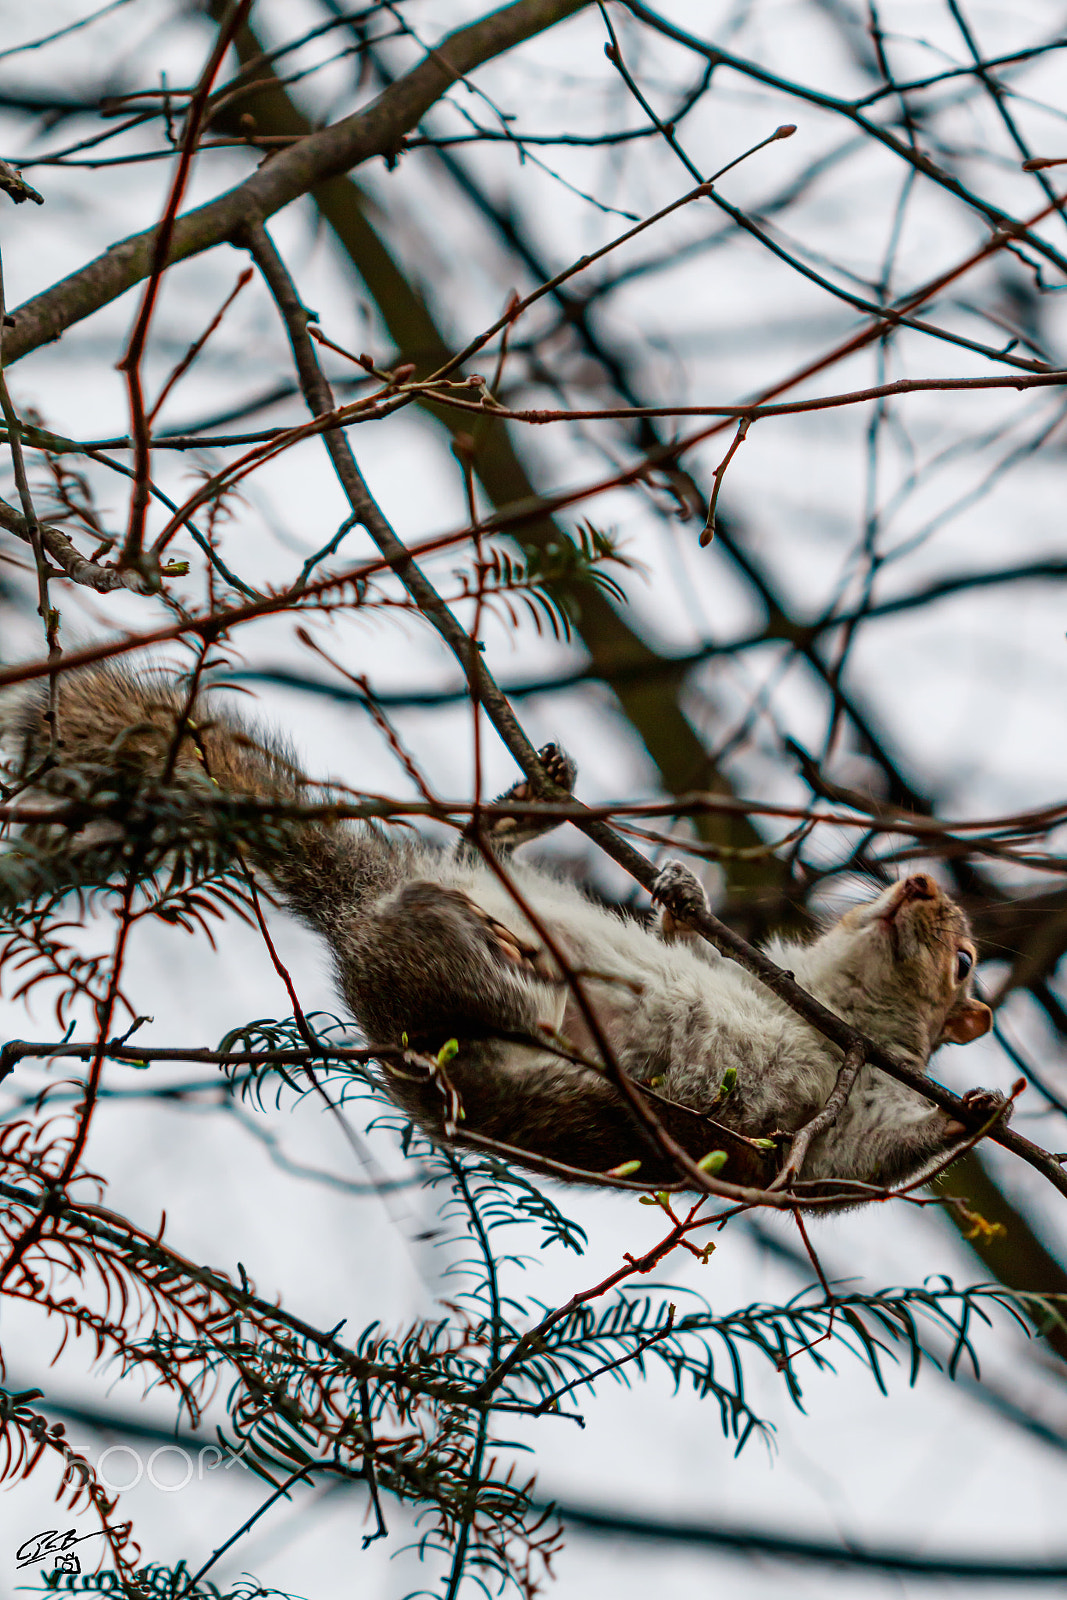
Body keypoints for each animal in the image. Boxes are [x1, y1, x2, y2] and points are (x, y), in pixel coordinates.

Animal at [0, 662, 1001, 1197]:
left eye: (962, 962)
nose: (920, 881)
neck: (829, 1003)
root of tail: (362, 911)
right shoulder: (765, 973)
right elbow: (693, 942)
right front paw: (682, 896)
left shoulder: (853, 1112)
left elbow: (857, 1170)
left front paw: (979, 1114)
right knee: (467, 862)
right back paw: (524, 815)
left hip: (432, 994)